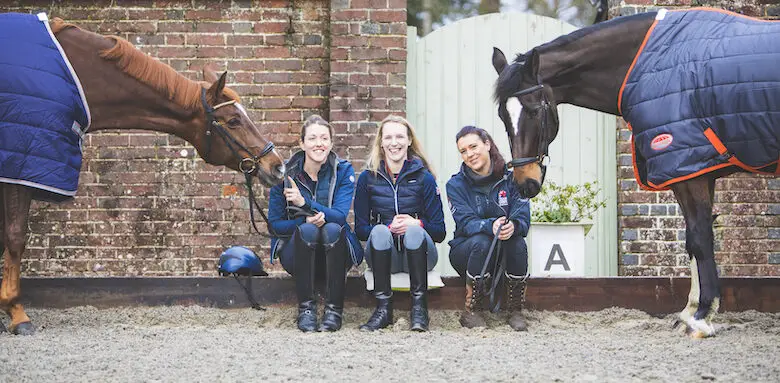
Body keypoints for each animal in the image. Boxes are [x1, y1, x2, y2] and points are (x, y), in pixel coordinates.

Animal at [0, 14, 286, 336]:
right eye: (234, 120)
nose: (277, 165)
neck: (76, 76)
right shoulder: (18, 164)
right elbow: (14, 236)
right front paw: (17, 313)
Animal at [490, 8, 776, 340]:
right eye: (503, 116)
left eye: (535, 110)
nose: (525, 183)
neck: (651, 63)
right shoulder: (701, 169)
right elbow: (694, 240)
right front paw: (690, 311)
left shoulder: (688, 172)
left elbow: (700, 238)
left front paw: (701, 318)